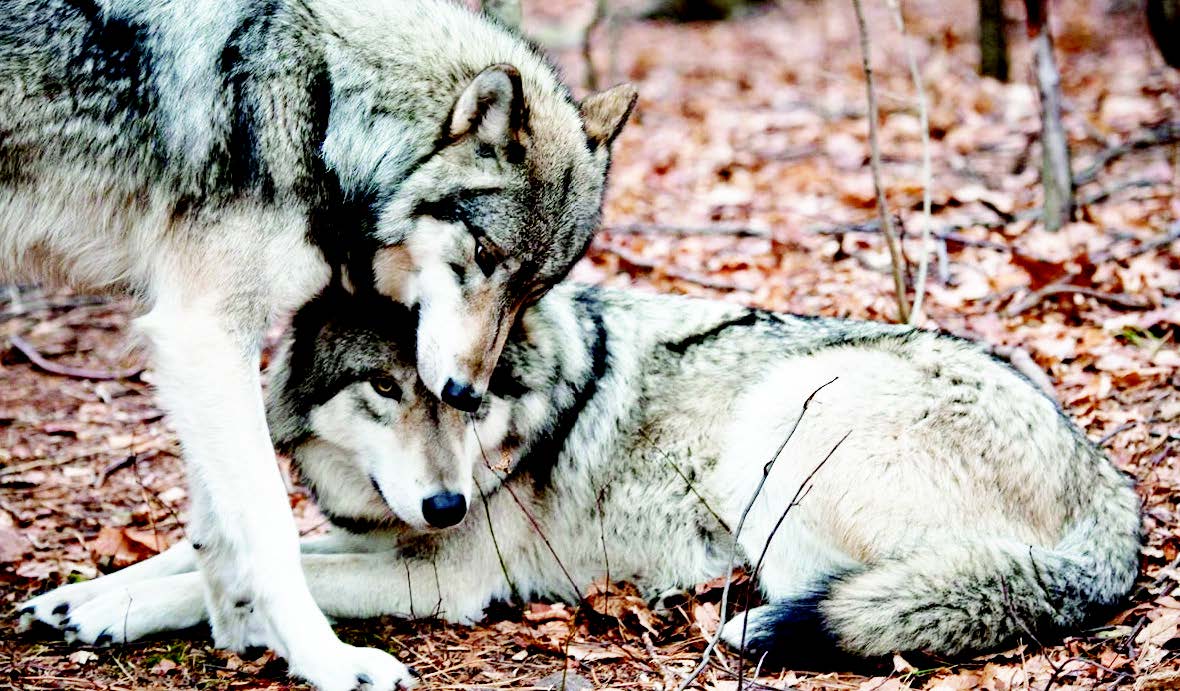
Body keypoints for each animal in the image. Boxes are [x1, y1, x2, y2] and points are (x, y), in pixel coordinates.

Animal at [2, 1, 636, 687]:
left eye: (535, 288)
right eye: (485, 255)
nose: (466, 393)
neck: (324, 107)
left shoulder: (203, 346)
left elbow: (215, 530)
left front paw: (231, 631)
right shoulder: (205, 330)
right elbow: (271, 527)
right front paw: (326, 659)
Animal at [21, 282, 1143, 667]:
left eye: (464, 393)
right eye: (385, 387)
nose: (446, 503)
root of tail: (1112, 491)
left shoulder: (444, 576)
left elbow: (274, 574)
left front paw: (135, 614)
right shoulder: (379, 529)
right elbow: (212, 551)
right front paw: (78, 599)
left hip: (779, 426)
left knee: (819, 592)